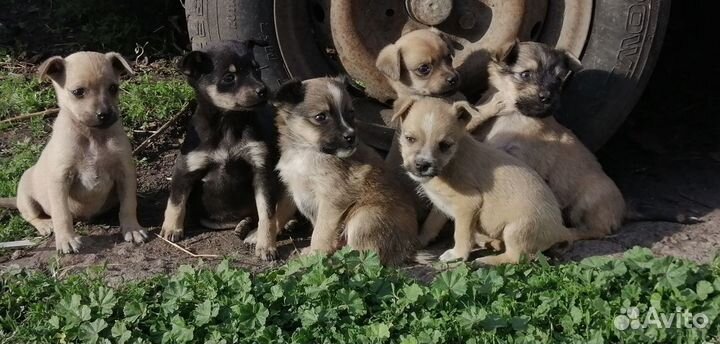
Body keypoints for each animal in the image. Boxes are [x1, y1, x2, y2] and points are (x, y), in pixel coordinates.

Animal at [0, 52, 147, 254]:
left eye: (113, 88)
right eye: (78, 92)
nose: (105, 114)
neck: (92, 136)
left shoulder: (125, 172)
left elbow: (129, 204)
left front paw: (132, 228)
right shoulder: (60, 179)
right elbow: (61, 214)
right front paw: (66, 239)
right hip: (26, 194)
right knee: (30, 215)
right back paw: (45, 225)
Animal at [160, 39, 290, 260]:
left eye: (257, 69)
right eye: (229, 77)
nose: (263, 90)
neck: (228, 122)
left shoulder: (261, 170)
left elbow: (267, 214)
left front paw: (266, 245)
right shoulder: (186, 168)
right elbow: (176, 201)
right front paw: (171, 229)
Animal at [274, 77, 422, 266]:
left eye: (351, 113)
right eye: (321, 117)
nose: (351, 137)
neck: (307, 151)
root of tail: (410, 250)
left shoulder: (332, 199)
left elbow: (320, 232)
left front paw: (316, 255)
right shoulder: (299, 191)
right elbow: (314, 226)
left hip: (364, 218)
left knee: (366, 254)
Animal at [470, 40, 628, 238]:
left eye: (559, 79)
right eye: (526, 74)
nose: (547, 97)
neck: (513, 115)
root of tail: (623, 213)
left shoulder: (522, 160)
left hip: (589, 198)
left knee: (596, 231)